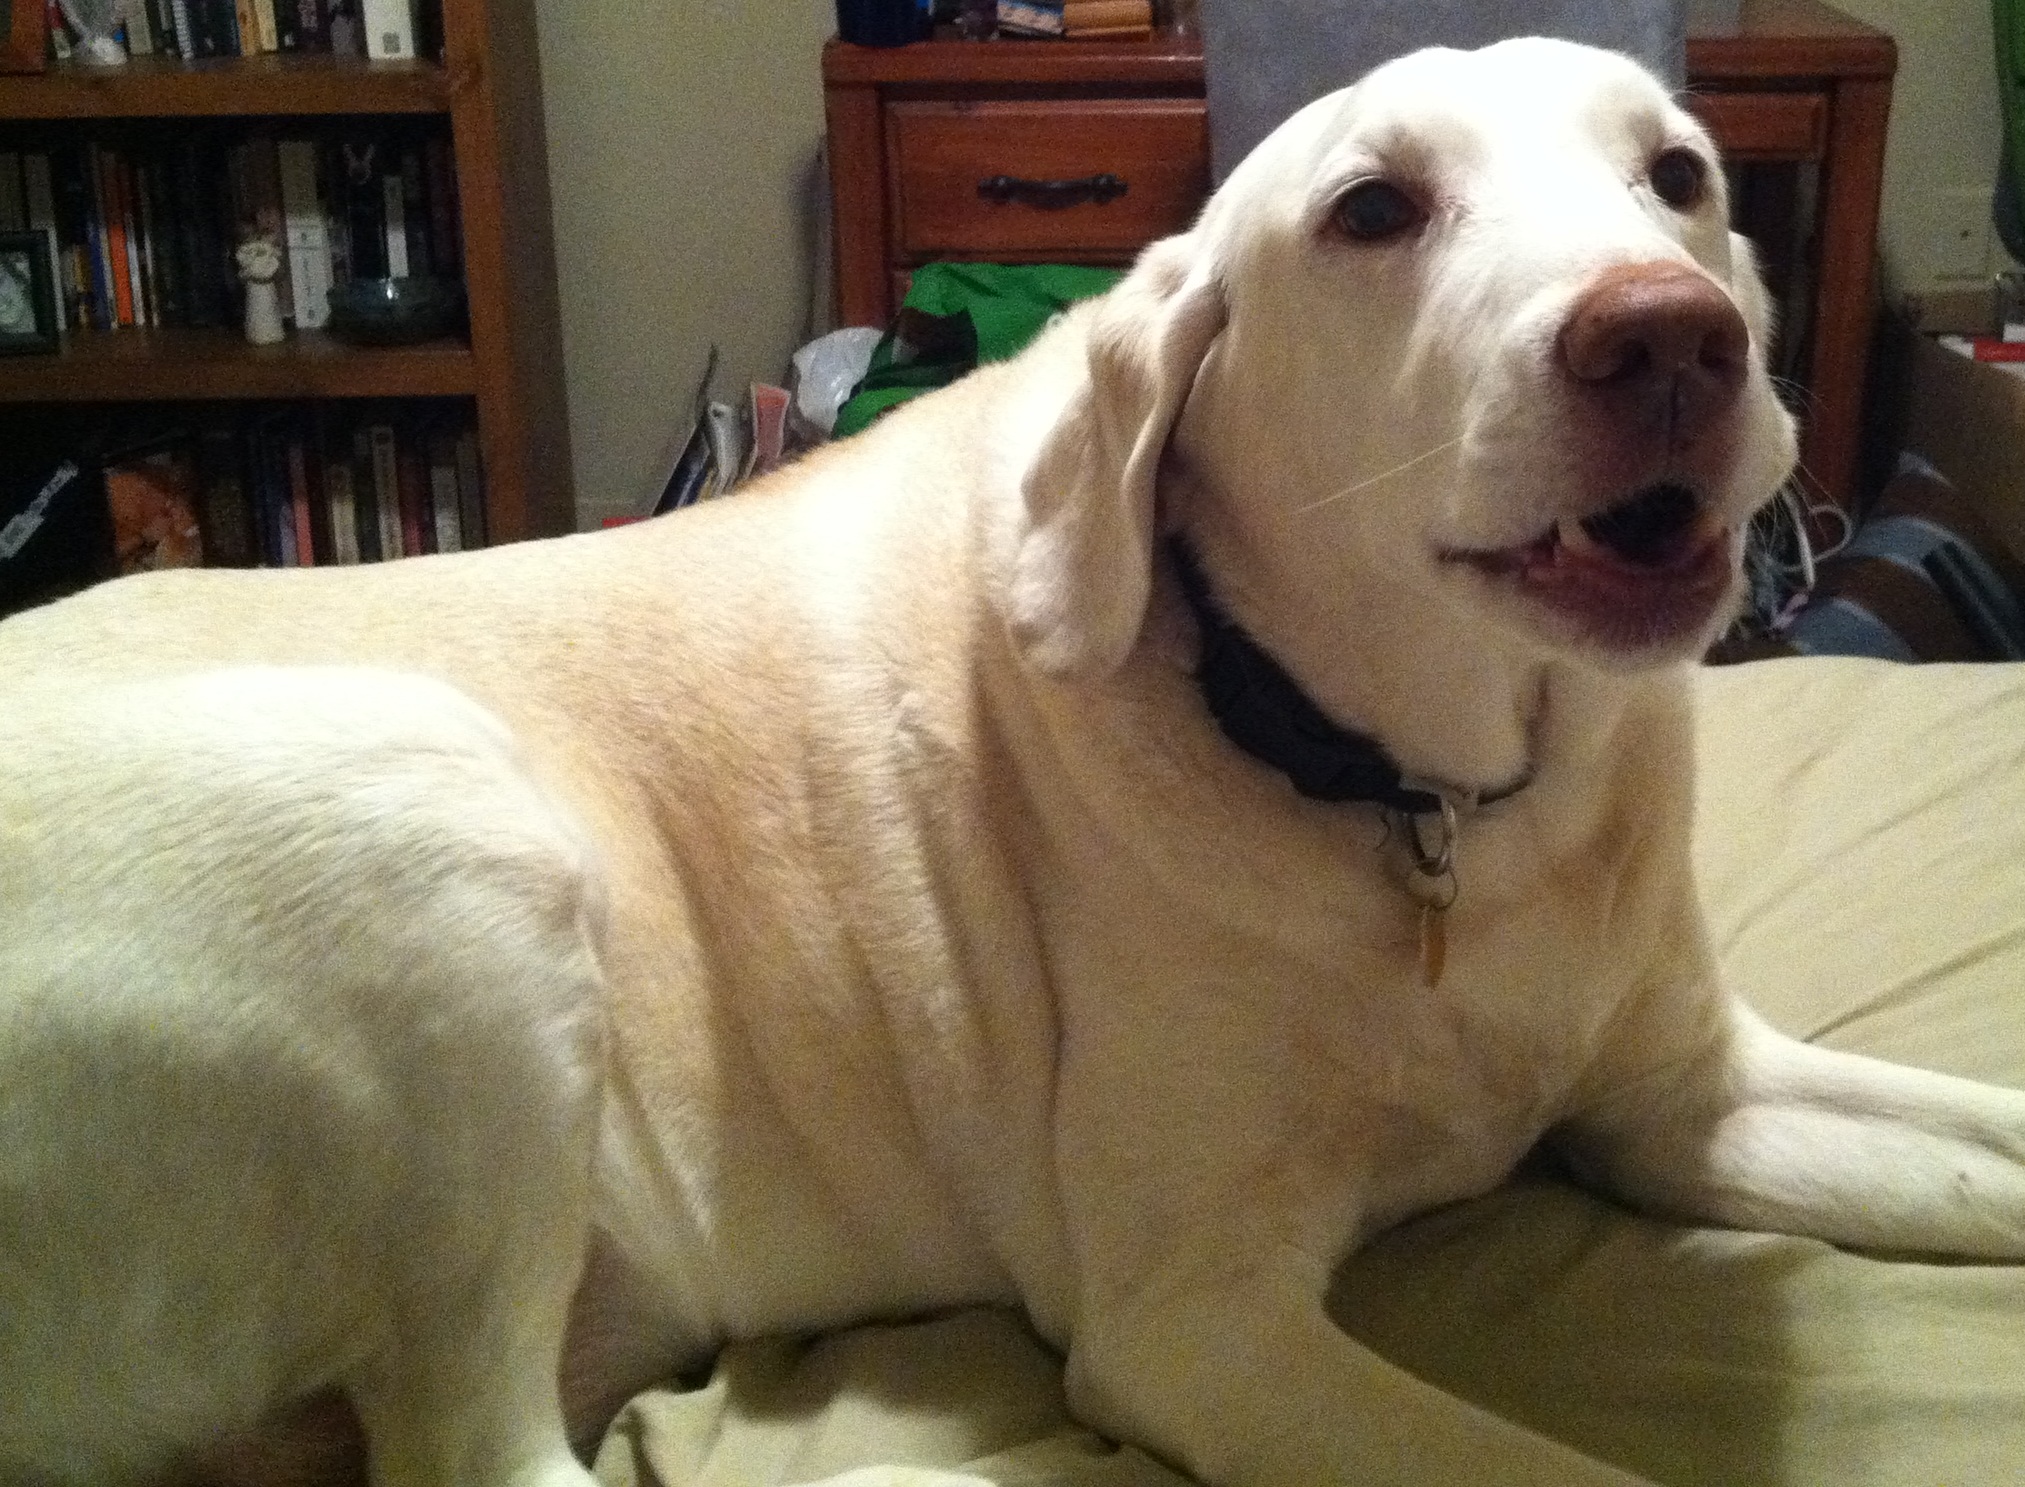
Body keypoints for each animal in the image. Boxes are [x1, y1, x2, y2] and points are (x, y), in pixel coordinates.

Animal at [3, 34, 2025, 1487]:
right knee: (471, 1462)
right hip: (433, 820)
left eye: (1678, 176)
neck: (1430, 804)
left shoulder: (1685, 1097)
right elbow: (1547, 1469)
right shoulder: (1197, 1320)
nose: (1673, 334)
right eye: (1373, 212)